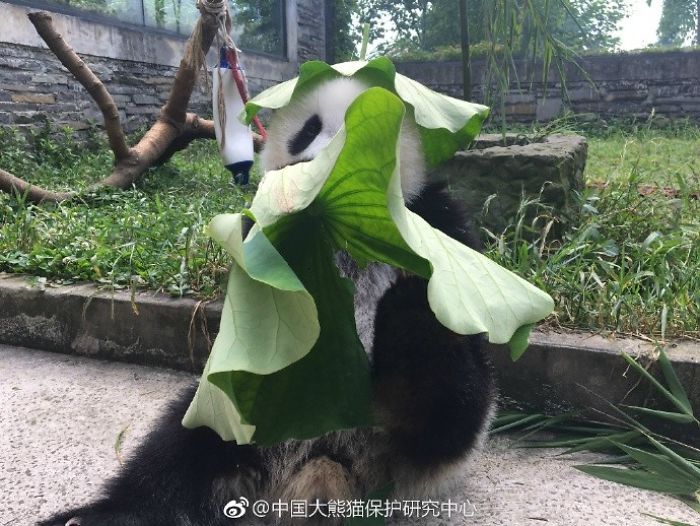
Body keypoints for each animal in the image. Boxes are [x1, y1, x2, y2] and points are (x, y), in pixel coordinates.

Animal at [40, 77, 497, 526]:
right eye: (308, 130)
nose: (309, 170)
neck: (335, 225)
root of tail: (319, 468)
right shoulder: (261, 236)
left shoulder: (437, 224)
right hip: (233, 414)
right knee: (178, 450)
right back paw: (106, 516)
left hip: (413, 444)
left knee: (441, 402)